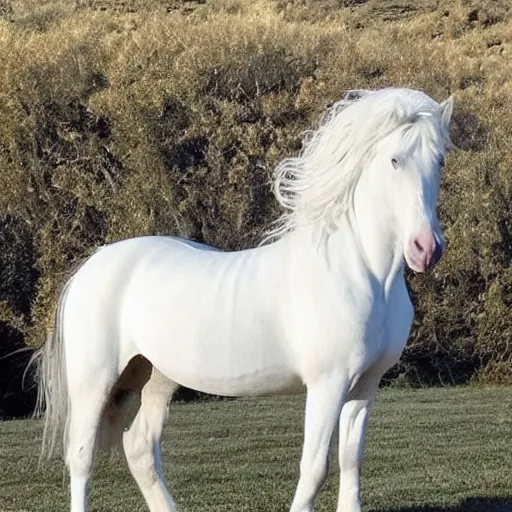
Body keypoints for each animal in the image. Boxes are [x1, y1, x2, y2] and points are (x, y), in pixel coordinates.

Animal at [35, 86, 452, 510]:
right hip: (94, 381)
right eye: (394, 160)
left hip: (155, 376)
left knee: (140, 448)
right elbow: (315, 468)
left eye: (439, 160)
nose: (426, 248)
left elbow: (351, 461)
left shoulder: (365, 386)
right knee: (82, 458)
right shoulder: (328, 383)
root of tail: (92, 264)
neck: (361, 271)